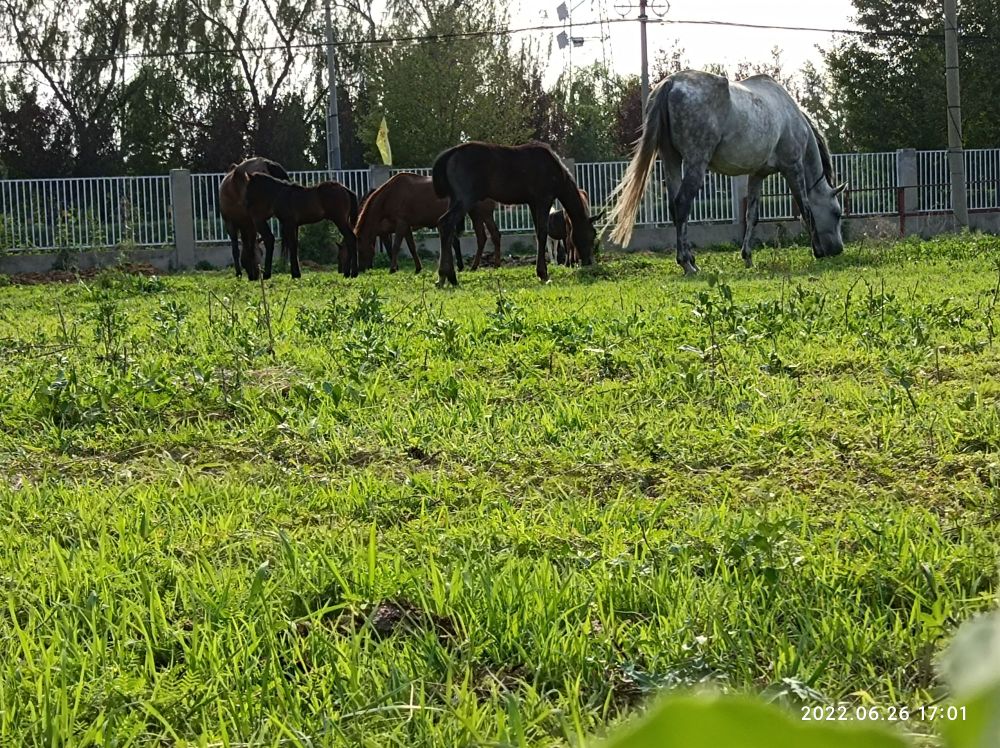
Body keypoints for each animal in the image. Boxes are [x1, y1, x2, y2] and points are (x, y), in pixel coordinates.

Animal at [355, 171, 502, 274]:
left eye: (360, 250)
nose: (360, 269)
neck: (390, 194)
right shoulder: (406, 226)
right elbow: (412, 247)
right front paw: (418, 268)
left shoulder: (401, 224)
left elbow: (396, 246)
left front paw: (392, 268)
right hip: (475, 215)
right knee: (482, 238)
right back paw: (474, 266)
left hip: (484, 214)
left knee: (494, 235)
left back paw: (496, 265)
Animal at [432, 141, 599, 286]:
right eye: (591, 235)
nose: (588, 262)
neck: (558, 173)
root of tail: (450, 153)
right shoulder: (543, 198)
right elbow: (543, 233)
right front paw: (543, 273)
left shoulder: (533, 202)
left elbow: (538, 233)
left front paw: (541, 271)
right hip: (465, 198)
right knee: (446, 223)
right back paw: (446, 275)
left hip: (454, 198)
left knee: (446, 227)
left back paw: (446, 276)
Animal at [607, 70, 847, 274]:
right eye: (837, 213)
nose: (838, 250)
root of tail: (671, 82)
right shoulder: (793, 168)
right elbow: (806, 210)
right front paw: (818, 251)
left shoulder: (757, 174)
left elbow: (752, 216)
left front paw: (747, 256)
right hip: (695, 162)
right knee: (683, 203)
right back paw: (687, 263)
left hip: (671, 159)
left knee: (675, 207)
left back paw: (690, 259)